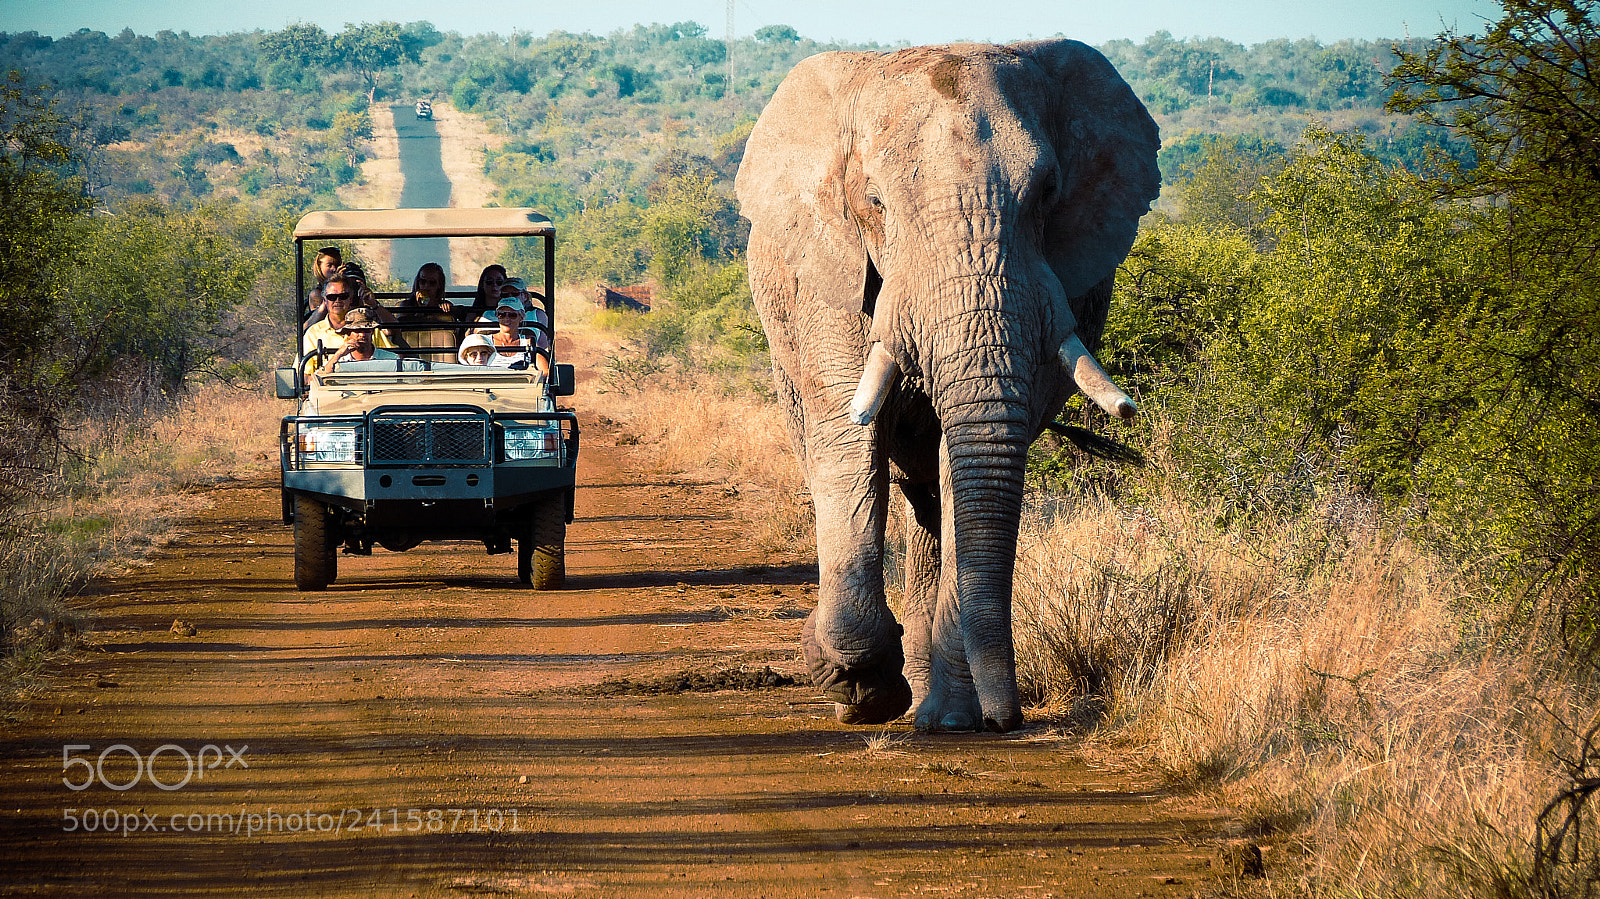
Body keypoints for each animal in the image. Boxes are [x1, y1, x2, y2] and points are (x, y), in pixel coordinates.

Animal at [734, 39, 1160, 732]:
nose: (1008, 718)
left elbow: (965, 461)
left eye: (1047, 192)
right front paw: (856, 685)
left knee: (934, 489)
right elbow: (849, 440)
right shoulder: (831, 275)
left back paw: (938, 709)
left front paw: (941, 714)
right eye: (874, 201)